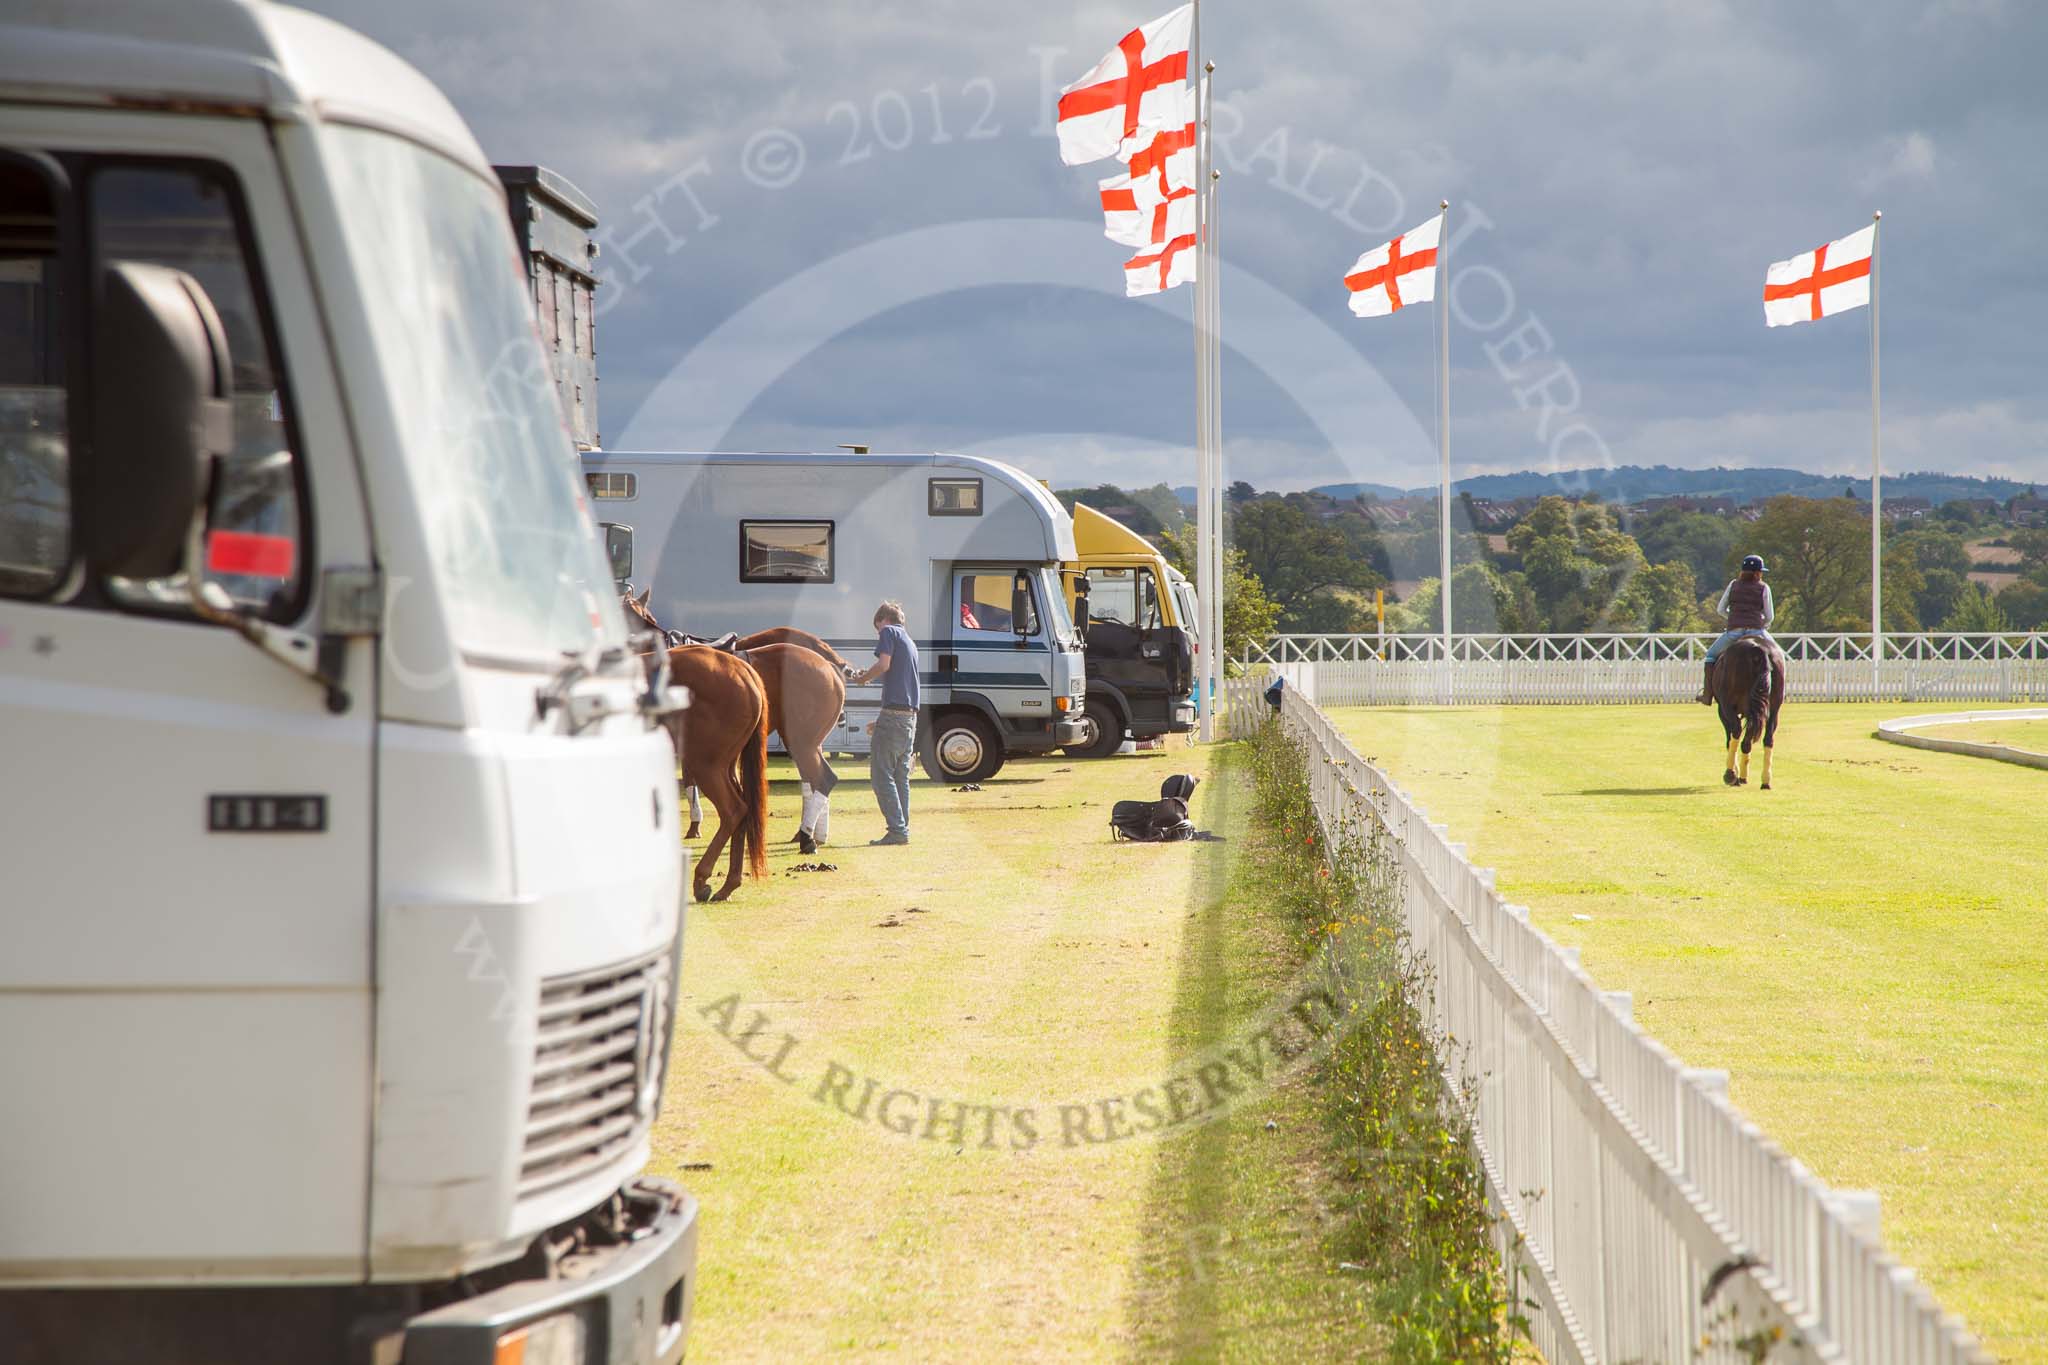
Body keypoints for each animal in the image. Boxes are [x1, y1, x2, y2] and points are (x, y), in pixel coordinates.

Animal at [1703, 638, 1785, 789]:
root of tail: (1758, 648)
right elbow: (1747, 741)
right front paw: (1743, 776)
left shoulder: (1723, 710)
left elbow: (1730, 739)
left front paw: (1735, 774)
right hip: (1773, 709)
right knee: (1768, 738)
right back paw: (1765, 780)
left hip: (1727, 706)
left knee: (1736, 731)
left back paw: (1730, 774)